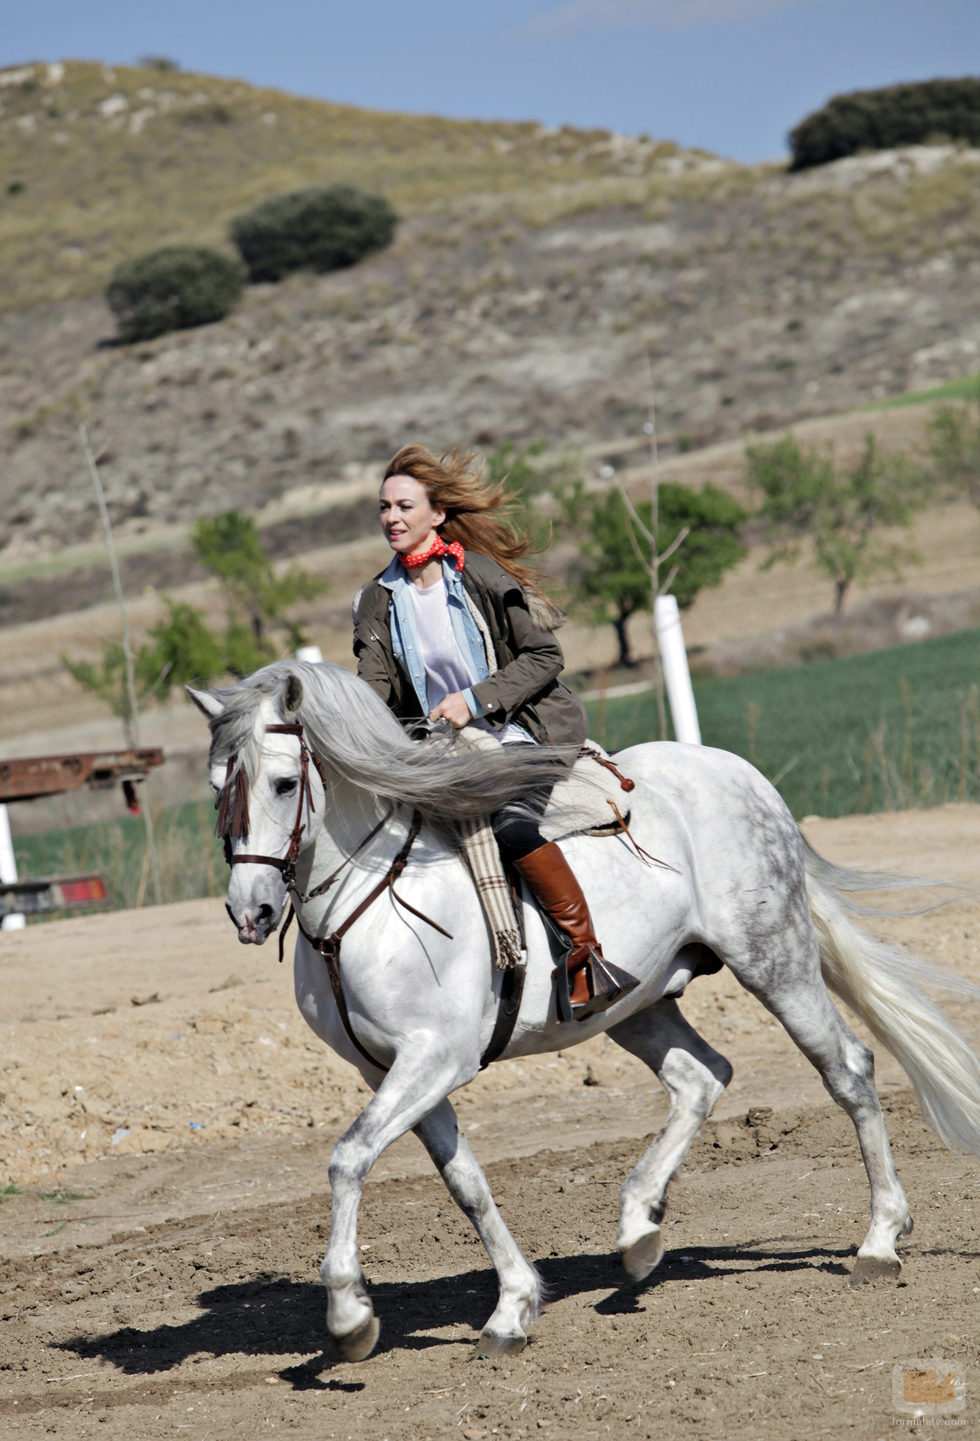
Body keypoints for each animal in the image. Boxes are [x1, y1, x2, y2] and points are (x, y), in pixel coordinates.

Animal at [188, 662, 979, 1360]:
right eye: (218, 788)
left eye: (285, 782)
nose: (249, 912)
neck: (368, 902)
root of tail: (737, 772)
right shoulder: (392, 1071)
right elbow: (465, 1184)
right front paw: (512, 1309)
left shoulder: (434, 1057)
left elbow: (349, 1157)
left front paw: (350, 1315)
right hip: (637, 1002)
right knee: (702, 1075)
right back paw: (637, 1234)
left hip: (773, 959)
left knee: (847, 1068)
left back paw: (880, 1240)